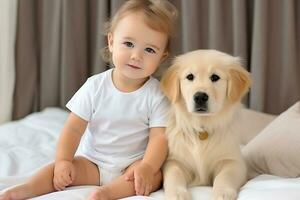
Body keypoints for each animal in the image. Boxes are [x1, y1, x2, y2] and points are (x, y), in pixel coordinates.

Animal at [161, 49, 250, 199]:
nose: (200, 97)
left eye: (215, 77)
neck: (203, 128)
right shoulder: (174, 160)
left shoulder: (233, 160)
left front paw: (223, 192)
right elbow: (174, 173)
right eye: (190, 76)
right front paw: (178, 193)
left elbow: (225, 175)